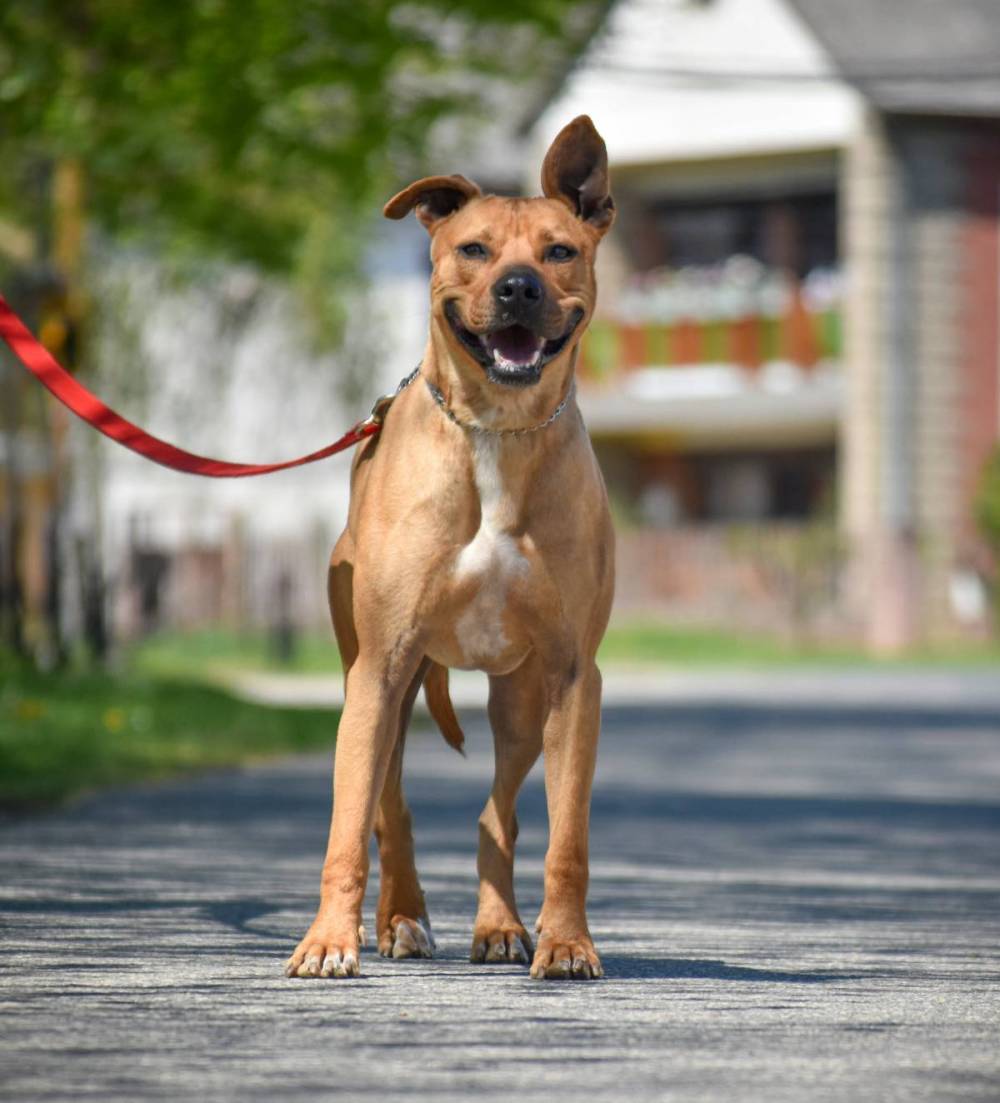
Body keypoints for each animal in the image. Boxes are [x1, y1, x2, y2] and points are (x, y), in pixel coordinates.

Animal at [285, 115, 616, 981]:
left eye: (558, 251)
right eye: (473, 248)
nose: (518, 288)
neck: (497, 430)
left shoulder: (575, 674)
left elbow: (568, 836)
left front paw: (567, 942)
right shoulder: (379, 666)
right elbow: (348, 824)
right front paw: (327, 941)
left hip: (522, 698)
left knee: (496, 813)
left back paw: (499, 925)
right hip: (383, 683)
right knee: (388, 805)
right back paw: (400, 917)